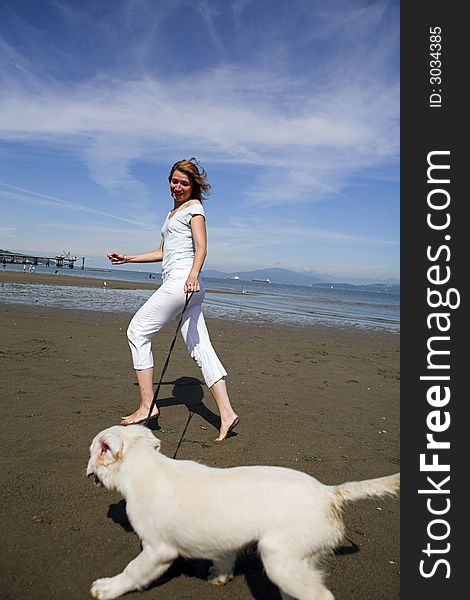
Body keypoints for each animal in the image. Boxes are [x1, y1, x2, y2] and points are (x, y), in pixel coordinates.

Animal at [85, 424, 400, 596]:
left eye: (92, 452)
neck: (146, 468)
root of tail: (328, 493)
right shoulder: (224, 542)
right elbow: (224, 560)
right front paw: (219, 576)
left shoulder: (157, 550)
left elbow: (133, 571)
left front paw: (107, 588)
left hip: (279, 558)